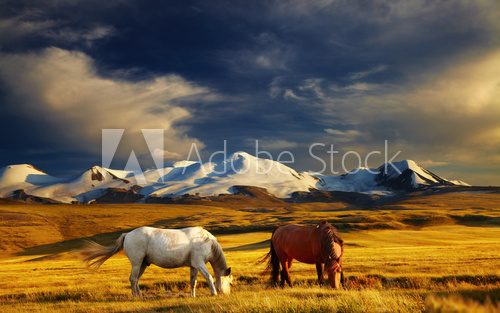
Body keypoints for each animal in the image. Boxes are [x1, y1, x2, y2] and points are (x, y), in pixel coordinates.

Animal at [80, 225, 232, 296]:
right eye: (230, 282)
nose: (226, 294)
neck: (206, 241)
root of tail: (127, 234)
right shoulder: (200, 264)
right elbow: (209, 277)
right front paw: (214, 292)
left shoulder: (194, 266)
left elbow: (192, 282)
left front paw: (192, 296)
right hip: (137, 263)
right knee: (133, 279)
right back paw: (136, 296)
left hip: (142, 264)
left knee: (136, 279)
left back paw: (139, 295)